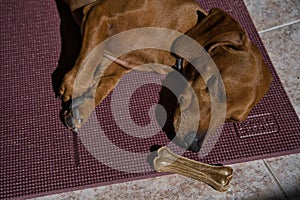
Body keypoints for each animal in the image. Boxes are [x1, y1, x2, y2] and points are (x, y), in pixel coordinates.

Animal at [58, 0, 272, 152]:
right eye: (217, 87)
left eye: (232, 120)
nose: (194, 146)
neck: (182, 28)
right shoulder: (99, 12)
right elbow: (88, 58)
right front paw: (74, 85)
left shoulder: (118, 62)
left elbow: (103, 81)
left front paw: (82, 108)